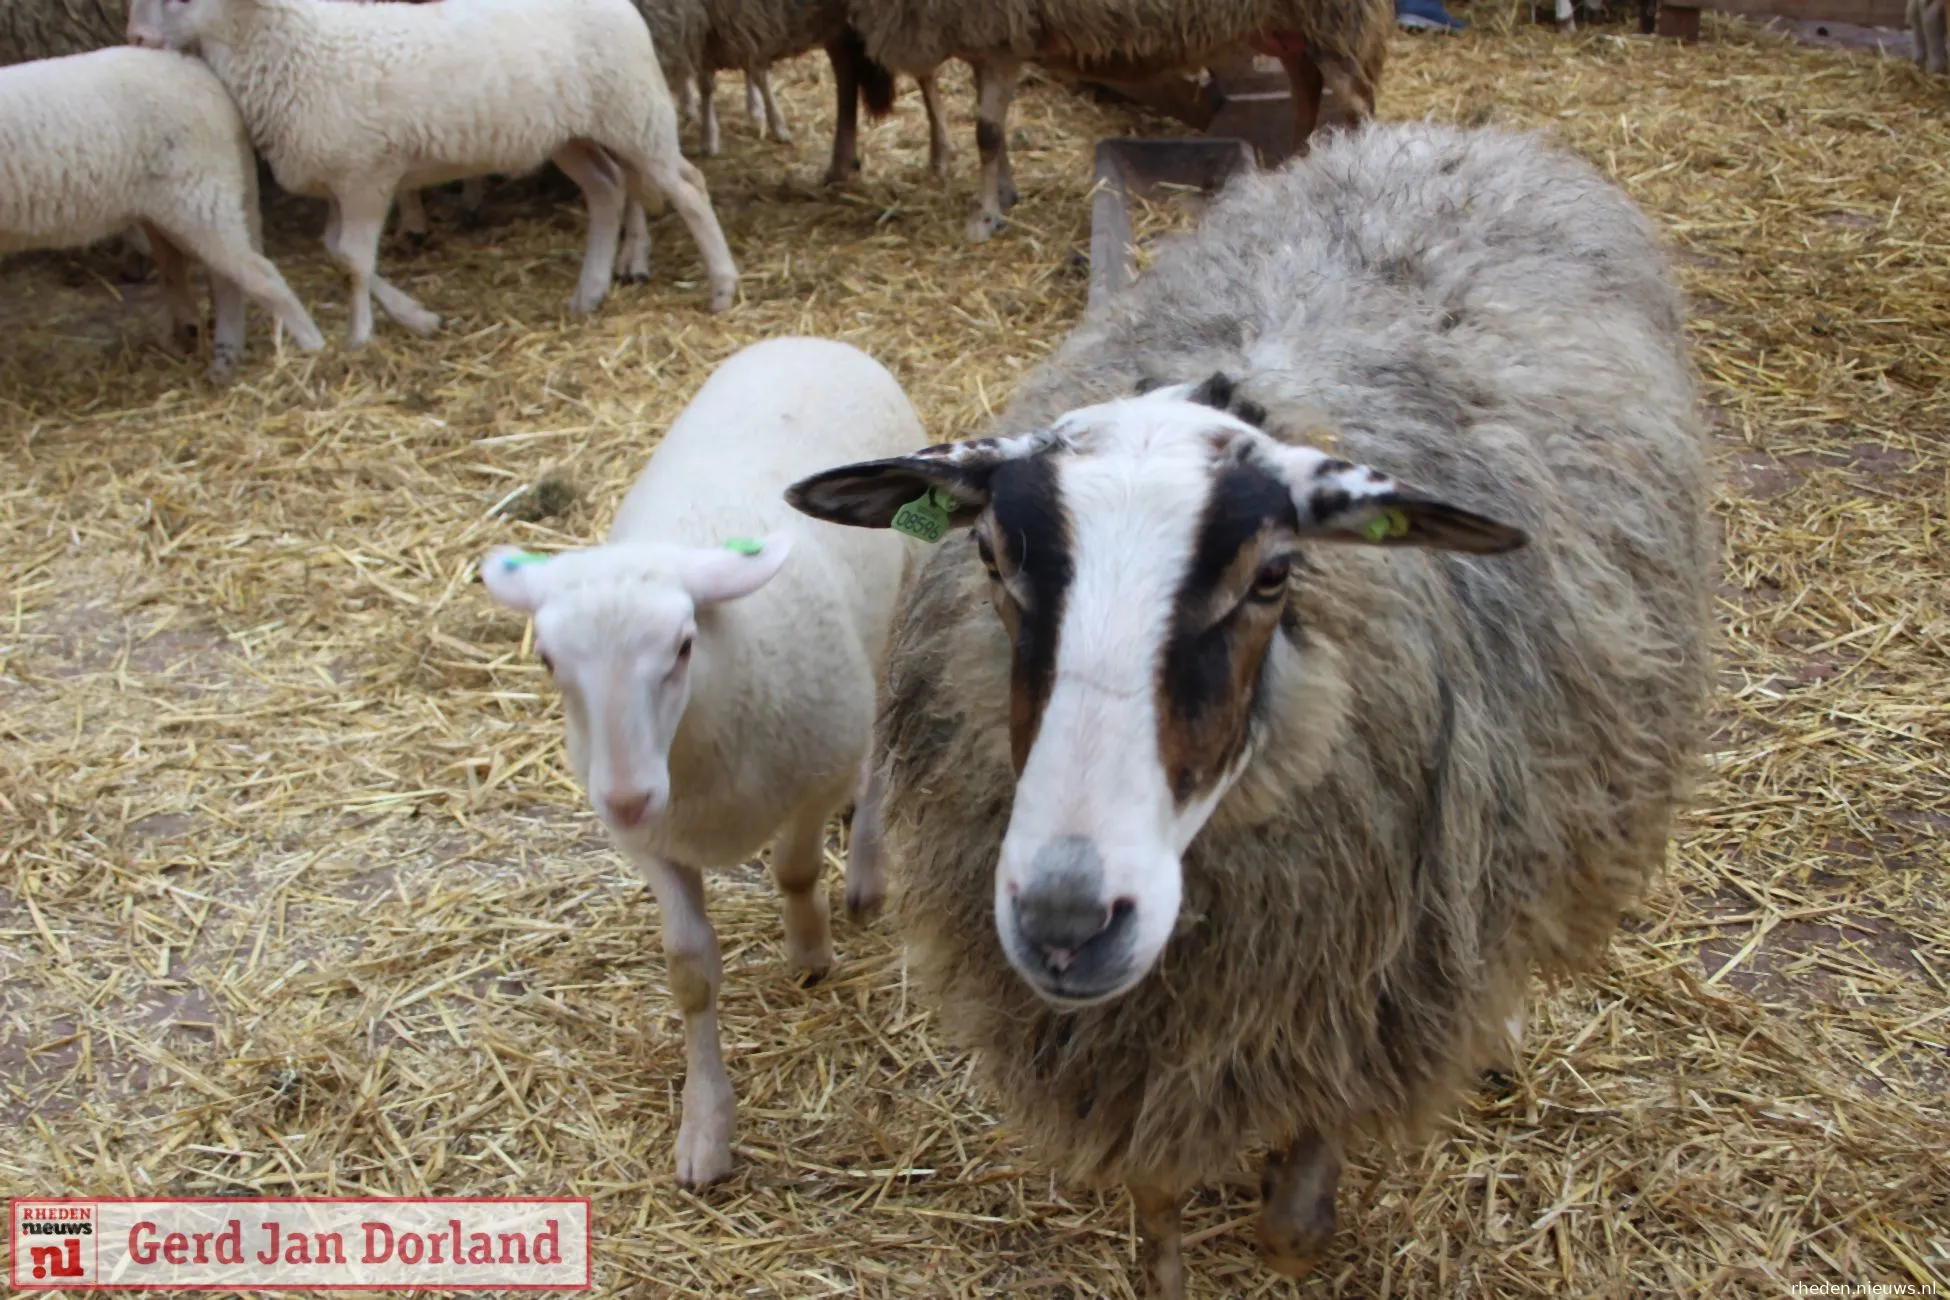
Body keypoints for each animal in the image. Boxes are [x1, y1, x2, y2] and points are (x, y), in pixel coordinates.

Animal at [127, 0, 737, 344]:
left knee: (688, 187)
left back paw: (723, 286)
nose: (136, 40)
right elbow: (338, 254)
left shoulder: (368, 174)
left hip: (634, 112)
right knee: (606, 189)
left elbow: (352, 261)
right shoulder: (340, 182)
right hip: (571, 135)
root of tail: (625, 7)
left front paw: (361, 337)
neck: (293, 45)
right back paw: (589, 293)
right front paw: (415, 319)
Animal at [783, 119, 1716, 1294]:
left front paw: (1293, 1201)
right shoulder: (1132, 1043)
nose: (1066, 924)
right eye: (992, 556)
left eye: (1273, 576)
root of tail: (1464, 134)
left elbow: (1295, 1211)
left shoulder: (1362, 982)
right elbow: (1155, 1201)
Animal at [850, 0, 1388, 238]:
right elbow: (993, 133)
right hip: (1287, 27)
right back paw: (1298, 165)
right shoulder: (988, 40)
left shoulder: (998, 36)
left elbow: (986, 132)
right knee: (1306, 89)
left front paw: (985, 218)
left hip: (1331, 20)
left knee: (1356, 105)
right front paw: (1003, 193)